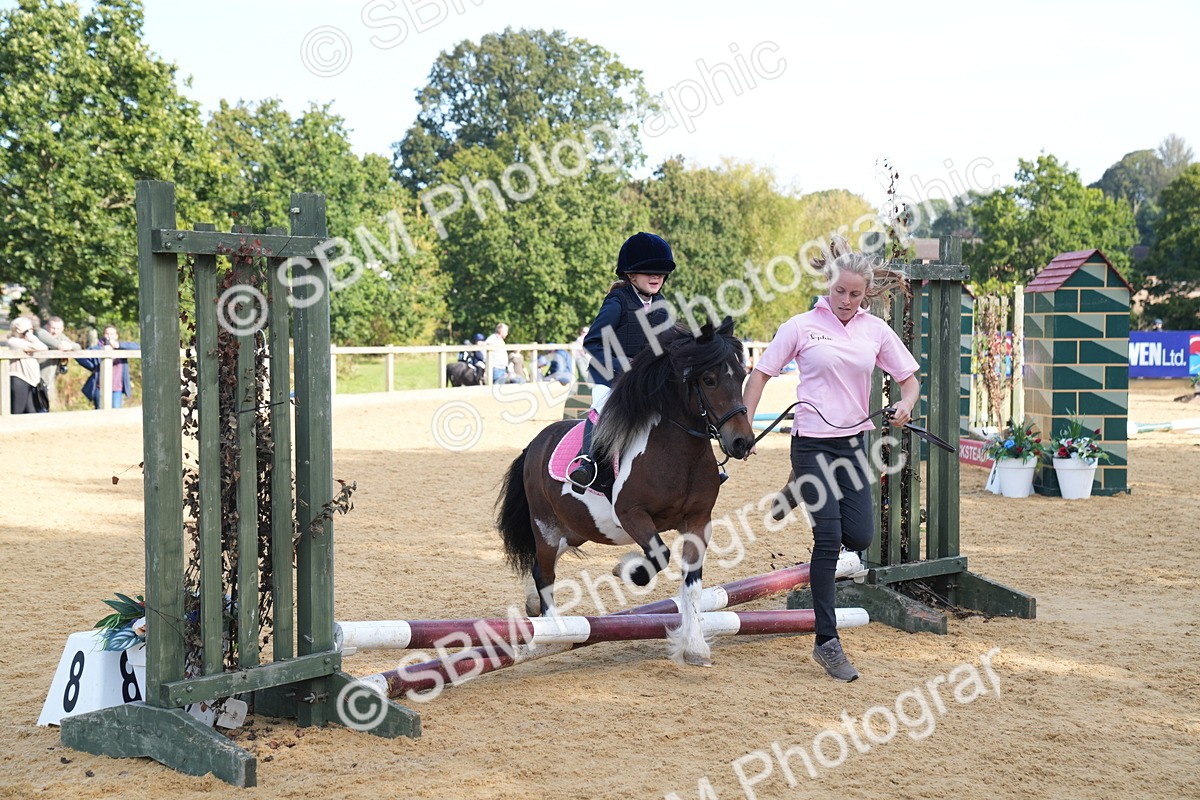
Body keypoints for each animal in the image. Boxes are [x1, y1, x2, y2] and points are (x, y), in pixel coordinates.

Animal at [495, 318, 755, 666]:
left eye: (741, 375)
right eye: (709, 379)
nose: (742, 442)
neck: (678, 453)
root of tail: (536, 443)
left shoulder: (699, 521)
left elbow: (692, 585)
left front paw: (695, 647)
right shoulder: (632, 514)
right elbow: (658, 555)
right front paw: (627, 568)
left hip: (575, 529)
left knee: (537, 560)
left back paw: (532, 606)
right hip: (546, 525)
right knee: (543, 571)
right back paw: (552, 631)